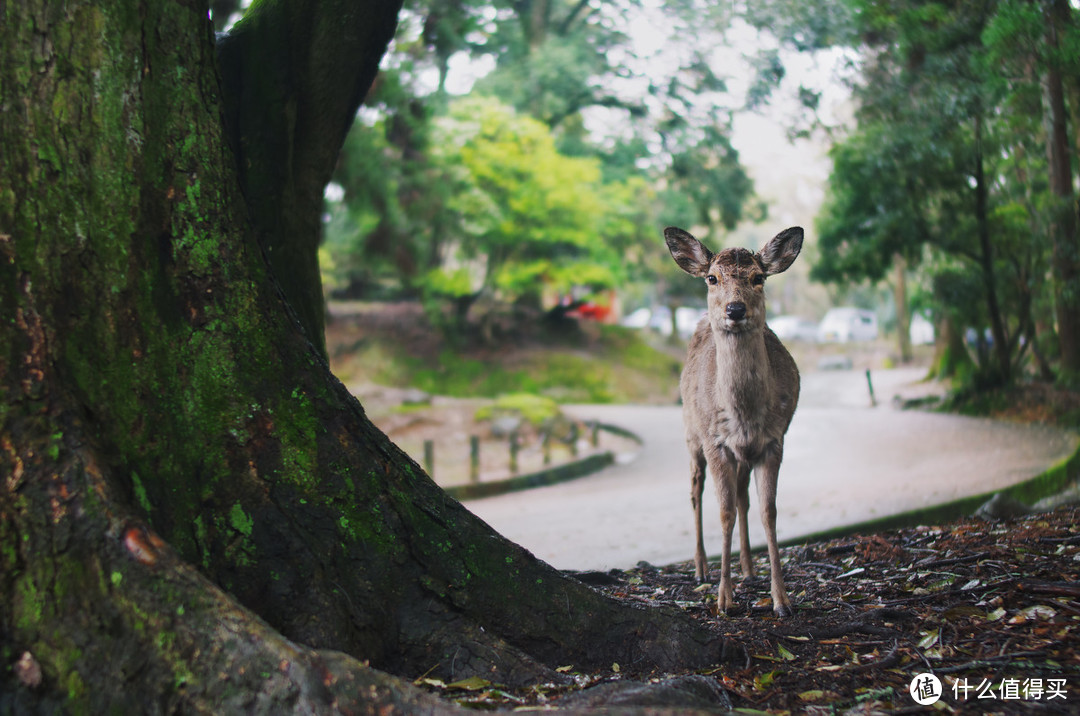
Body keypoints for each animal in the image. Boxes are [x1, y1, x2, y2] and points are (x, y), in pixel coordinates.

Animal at [660, 226, 807, 617]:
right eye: (712, 278)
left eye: (758, 277)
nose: (735, 309)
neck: (745, 414)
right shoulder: (716, 443)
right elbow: (723, 512)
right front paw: (724, 600)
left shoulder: (774, 441)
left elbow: (768, 511)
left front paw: (782, 599)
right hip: (691, 433)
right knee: (695, 491)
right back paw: (701, 569)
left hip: (744, 454)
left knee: (743, 498)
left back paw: (748, 568)